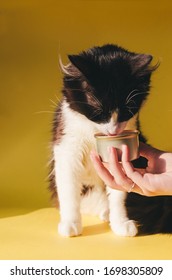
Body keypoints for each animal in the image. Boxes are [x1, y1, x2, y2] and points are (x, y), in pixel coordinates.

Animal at [49, 43, 172, 236]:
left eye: (126, 111)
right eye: (99, 112)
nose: (114, 131)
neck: (95, 132)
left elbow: (118, 195)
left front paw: (120, 223)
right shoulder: (67, 148)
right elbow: (68, 191)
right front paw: (70, 224)